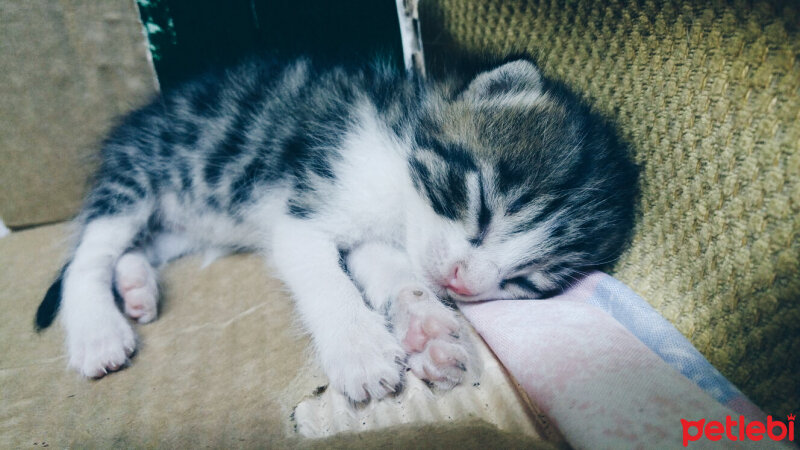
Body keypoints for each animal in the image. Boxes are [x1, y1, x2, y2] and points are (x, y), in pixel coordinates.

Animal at [34, 54, 636, 402]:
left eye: (525, 282)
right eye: (483, 205)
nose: (462, 282)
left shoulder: (374, 234)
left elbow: (390, 270)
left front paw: (423, 328)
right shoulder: (301, 208)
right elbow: (325, 280)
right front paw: (359, 349)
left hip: (190, 220)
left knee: (140, 246)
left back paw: (136, 287)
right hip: (139, 177)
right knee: (88, 255)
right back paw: (98, 331)